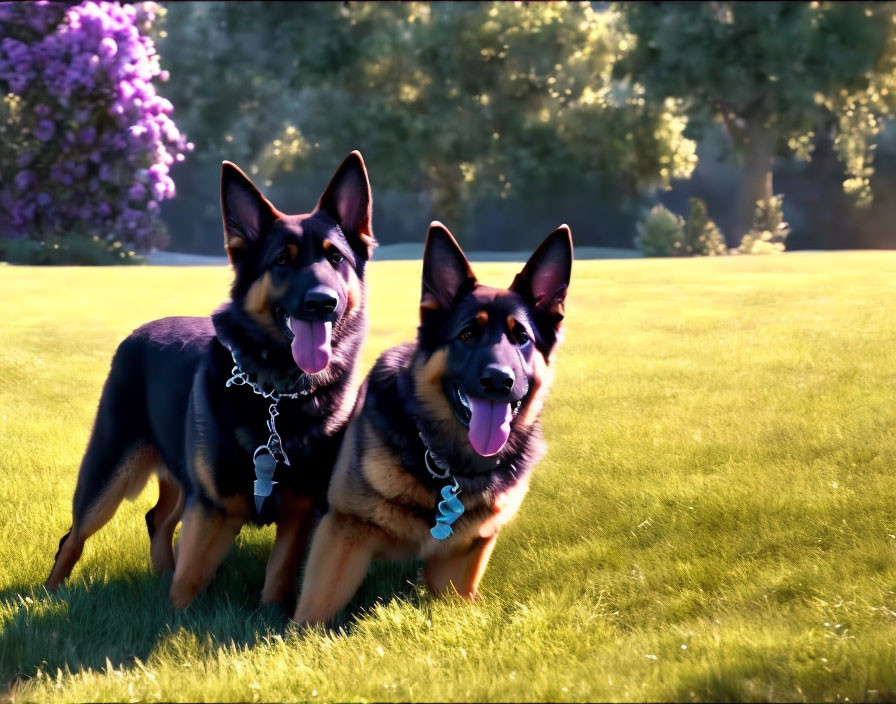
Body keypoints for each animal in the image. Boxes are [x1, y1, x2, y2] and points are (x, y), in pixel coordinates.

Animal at [47, 151, 376, 608]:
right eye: (282, 260)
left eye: (336, 259)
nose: (322, 303)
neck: (276, 396)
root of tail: (139, 332)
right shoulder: (211, 509)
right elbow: (187, 584)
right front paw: (174, 620)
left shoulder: (296, 511)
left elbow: (277, 577)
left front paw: (269, 614)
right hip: (108, 475)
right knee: (74, 536)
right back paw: (47, 595)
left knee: (156, 519)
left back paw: (158, 572)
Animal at [294, 223, 576, 624]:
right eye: (468, 334)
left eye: (521, 337)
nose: (499, 380)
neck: (447, 465)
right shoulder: (343, 532)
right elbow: (311, 619)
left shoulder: (461, 564)